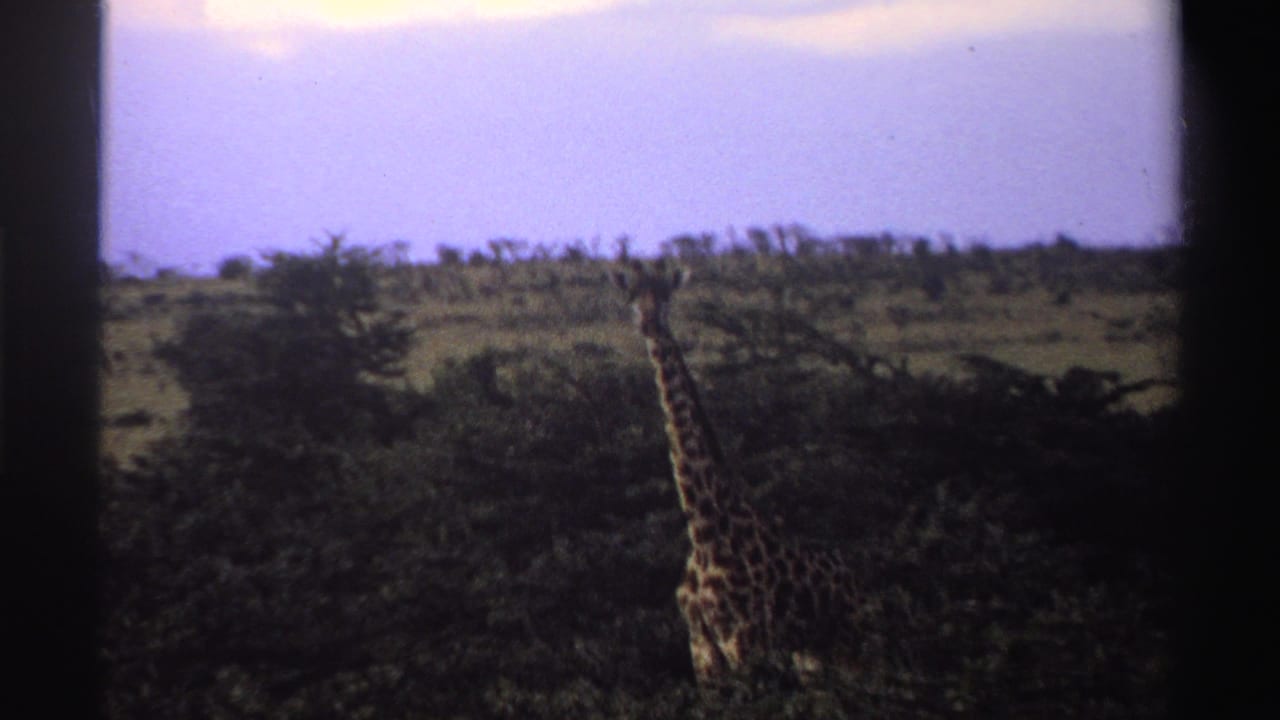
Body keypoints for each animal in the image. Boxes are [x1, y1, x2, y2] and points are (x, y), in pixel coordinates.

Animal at [613, 259, 862, 689]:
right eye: (631, 298)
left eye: (666, 298)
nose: (649, 325)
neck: (705, 531)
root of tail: (850, 571)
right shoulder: (703, 652)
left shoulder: (746, 643)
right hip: (808, 654)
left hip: (847, 642)